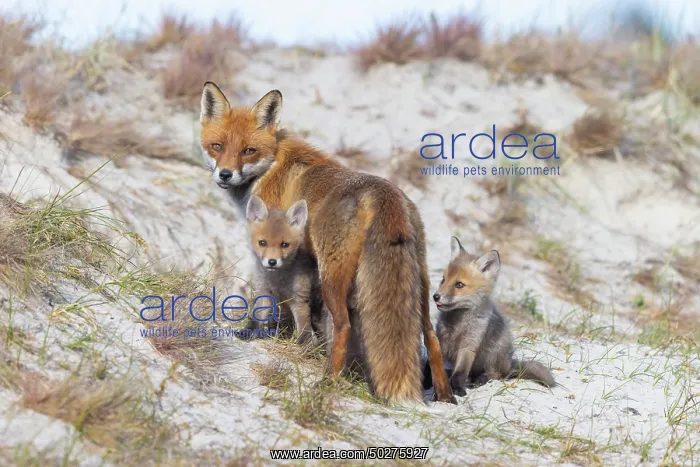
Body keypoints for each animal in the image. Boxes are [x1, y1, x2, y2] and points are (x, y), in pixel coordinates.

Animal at [245, 194, 320, 345]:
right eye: (262, 243)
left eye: (284, 245)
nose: (272, 262)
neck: (276, 281)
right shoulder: (264, 293)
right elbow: (256, 316)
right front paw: (247, 332)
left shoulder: (299, 300)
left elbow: (304, 329)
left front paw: (306, 346)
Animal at [430, 237, 555, 396]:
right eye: (443, 280)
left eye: (459, 284)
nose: (436, 296)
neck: (458, 325)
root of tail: (509, 363)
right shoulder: (441, 341)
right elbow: (433, 364)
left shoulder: (469, 345)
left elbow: (460, 373)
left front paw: (457, 388)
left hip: (494, 355)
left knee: (497, 375)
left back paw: (481, 379)